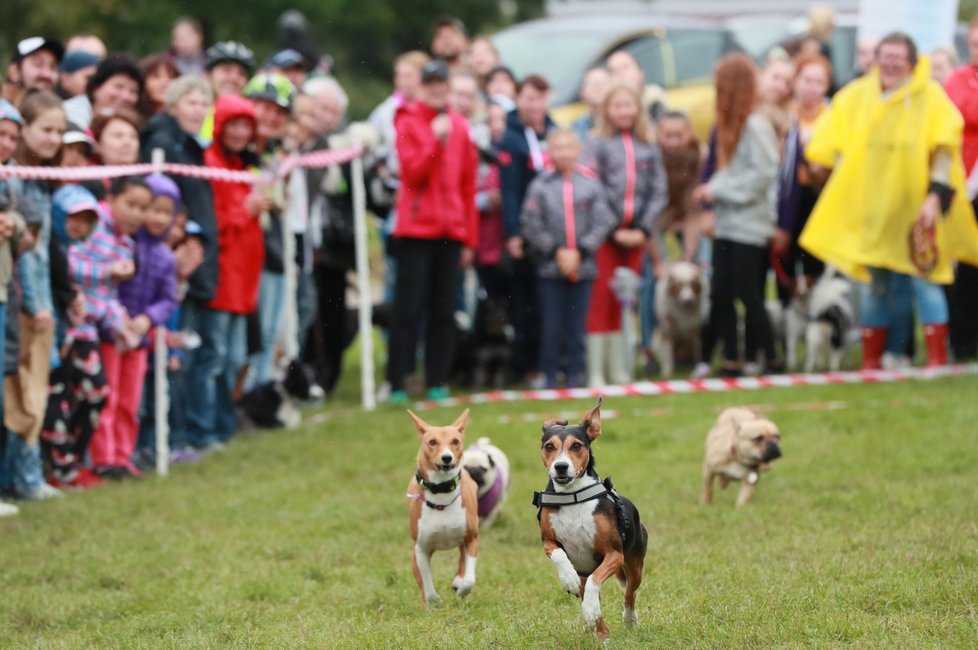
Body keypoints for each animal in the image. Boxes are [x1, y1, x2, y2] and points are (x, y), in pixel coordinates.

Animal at [532, 398, 648, 640]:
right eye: (549, 447)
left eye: (576, 446)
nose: (561, 466)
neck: (572, 496)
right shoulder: (548, 540)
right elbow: (558, 555)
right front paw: (568, 579)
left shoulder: (614, 554)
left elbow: (597, 581)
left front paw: (591, 610)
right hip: (585, 571)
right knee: (588, 591)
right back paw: (601, 634)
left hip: (634, 564)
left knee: (629, 592)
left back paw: (627, 620)